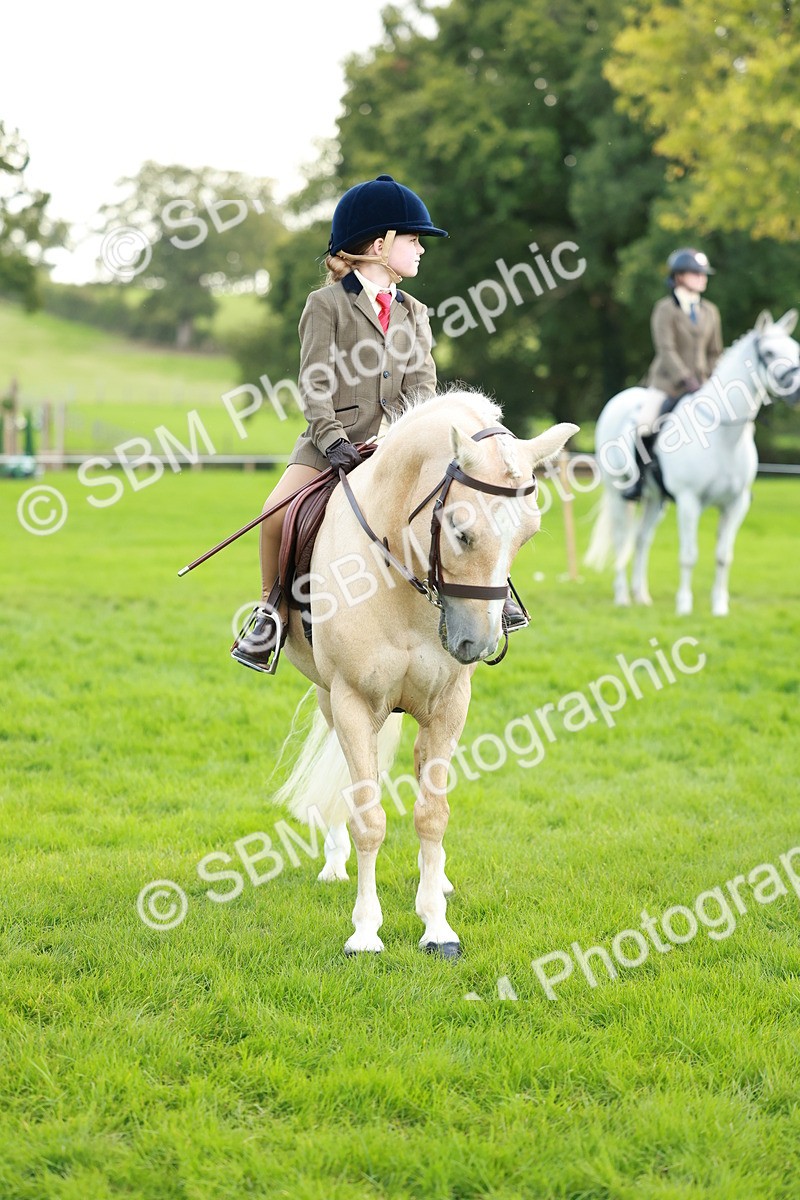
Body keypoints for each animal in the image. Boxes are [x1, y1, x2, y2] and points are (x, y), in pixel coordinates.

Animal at [271, 391, 578, 957]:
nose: (478, 644)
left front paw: (437, 925)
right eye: (461, 532)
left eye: (526, 537)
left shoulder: (450, 707)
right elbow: (368, 817)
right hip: (329, 696)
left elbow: (432, 814)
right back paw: (334, 862)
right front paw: (365, 932)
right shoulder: (352, 701)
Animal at [585, 310, 800, 616]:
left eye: (795, 350)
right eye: (769, 353)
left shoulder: (736, 504)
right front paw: (684, 605)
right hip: (618, 492)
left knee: (641, 540)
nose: (798, 392)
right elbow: (688, 555)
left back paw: (641, 596)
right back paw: (623, 597)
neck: (723, 435)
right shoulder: (689, 501)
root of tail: (619, 399)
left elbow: (723, 556)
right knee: (621, 538)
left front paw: (720, 607)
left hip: (655, 500)